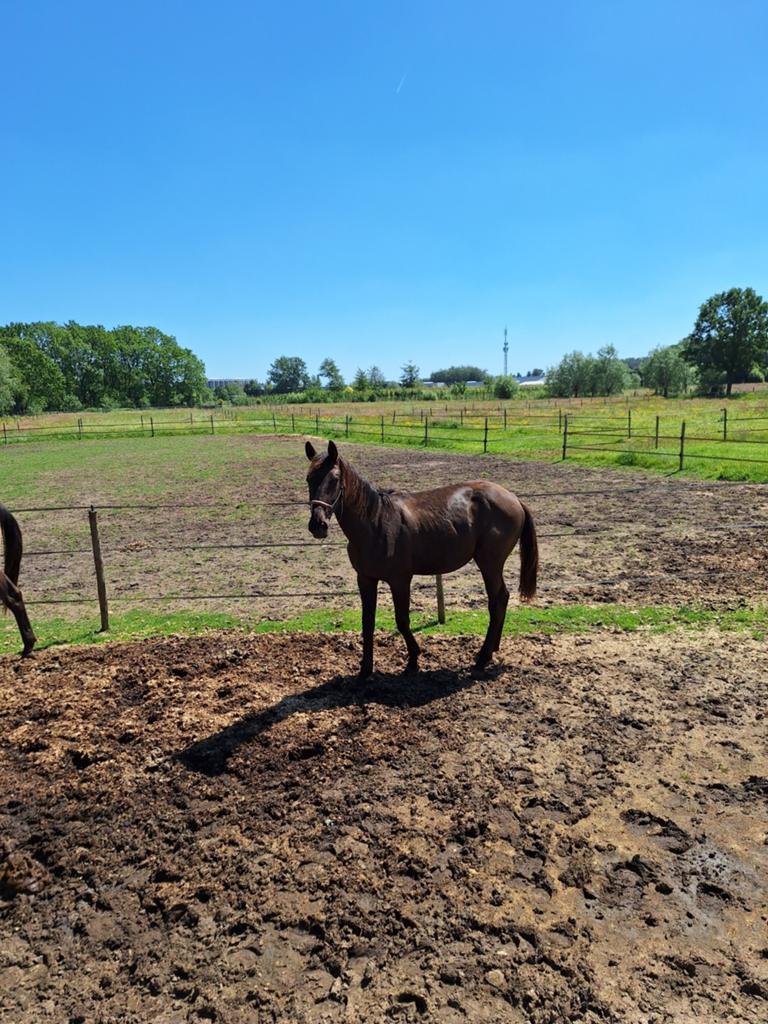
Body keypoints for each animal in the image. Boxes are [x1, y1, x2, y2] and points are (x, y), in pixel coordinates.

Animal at [305, 440, 538, 678]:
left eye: (334, 479)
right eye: (309, 478)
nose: (318, 525)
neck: (376, 522)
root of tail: (514, 498)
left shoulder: (399, 580)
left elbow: (402, 620)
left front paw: (413, 660)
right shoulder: (366, 579)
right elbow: (367, 622)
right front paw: (365, 670)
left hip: (490, 564)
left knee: (496, 601)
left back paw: (482, 657)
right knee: (503, 598)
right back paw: (492, 649)